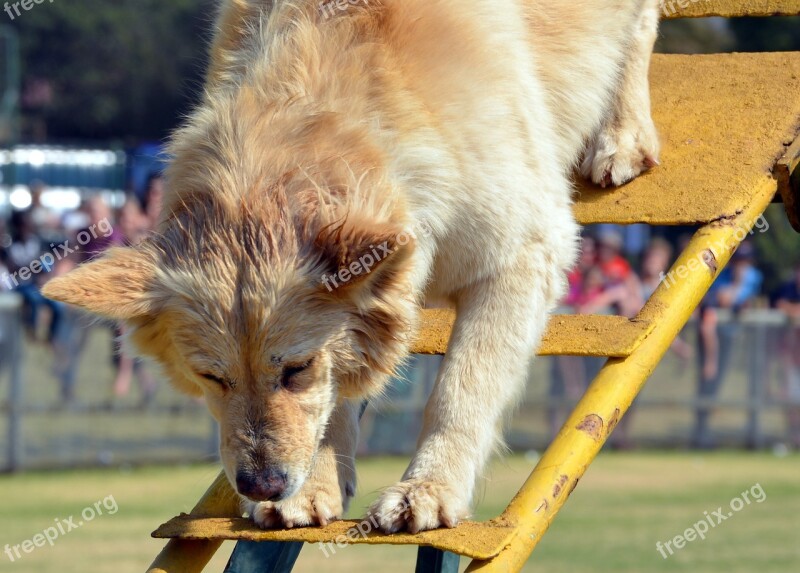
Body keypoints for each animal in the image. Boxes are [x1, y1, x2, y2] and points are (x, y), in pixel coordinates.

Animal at [40, 0, 660, 532]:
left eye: (295, 369)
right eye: (212, 377)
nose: (262, 486)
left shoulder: (523, 254)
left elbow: (461, 388)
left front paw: (429, 490)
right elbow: (338, 397)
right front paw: (316, 486)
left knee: (640, 28)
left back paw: (621, 134)